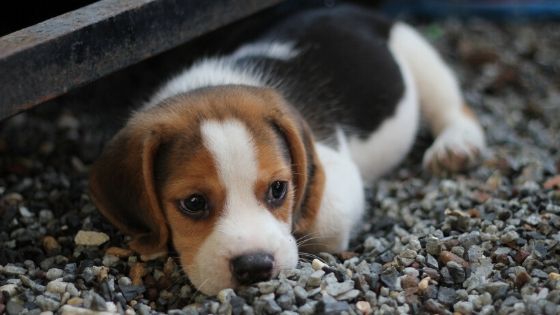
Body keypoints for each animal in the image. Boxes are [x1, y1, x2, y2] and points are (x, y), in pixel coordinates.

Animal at [88, 4, 486, 296]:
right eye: (194, 203)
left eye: (279, 189)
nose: (255, 267)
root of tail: (347, 9)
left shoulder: (337, 175)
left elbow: (319, 220)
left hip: (417, 55)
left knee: (453, 107)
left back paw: (455, 146)